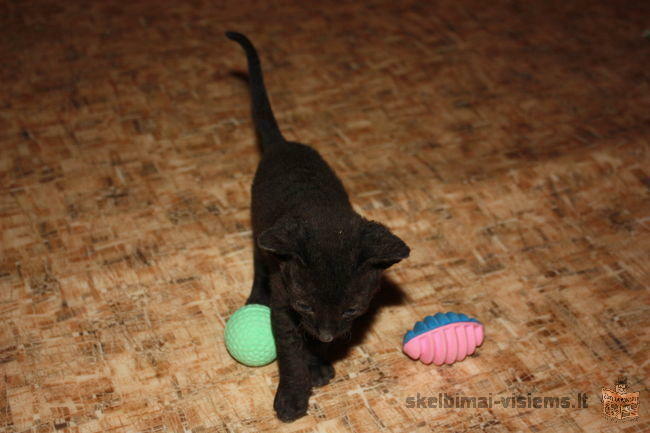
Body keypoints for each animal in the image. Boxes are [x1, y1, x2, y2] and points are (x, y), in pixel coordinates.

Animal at [225, 31, 408, 422]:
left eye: (353, 310)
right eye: (305, 305)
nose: (326, 337)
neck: (323, 215)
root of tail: (281, 144)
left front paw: (319, 361)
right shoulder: (284, 304)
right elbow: (291, 353)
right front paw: (294, 395)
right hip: (261, 237)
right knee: (258, 266)